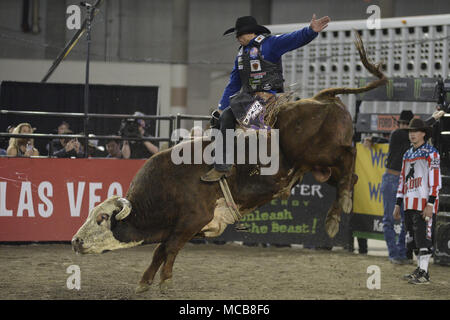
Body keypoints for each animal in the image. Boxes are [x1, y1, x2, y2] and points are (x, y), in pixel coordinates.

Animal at [73, 33, 386, 296]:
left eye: (102, 218)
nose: (75, 241)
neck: (167, 186)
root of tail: (321, 97)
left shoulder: (191, 221)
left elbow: (168, 249)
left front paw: (165, 283)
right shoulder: (183, 226)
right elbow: (160, 250)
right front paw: (144, 281)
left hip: (320, 153)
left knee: (349, 154)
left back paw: (340, 208)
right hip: (319, 169)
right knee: (350, 178)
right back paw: (335, 214)